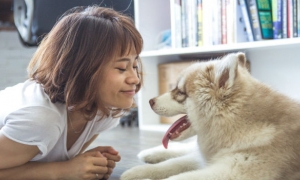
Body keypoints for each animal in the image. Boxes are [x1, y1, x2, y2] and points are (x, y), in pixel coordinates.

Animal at [120, 52, 300, 179]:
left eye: (180, 93)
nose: (150, 101)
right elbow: (172, 164)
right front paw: (137, 172)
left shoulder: (230, 171)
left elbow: (178, 176)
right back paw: (150, 154)